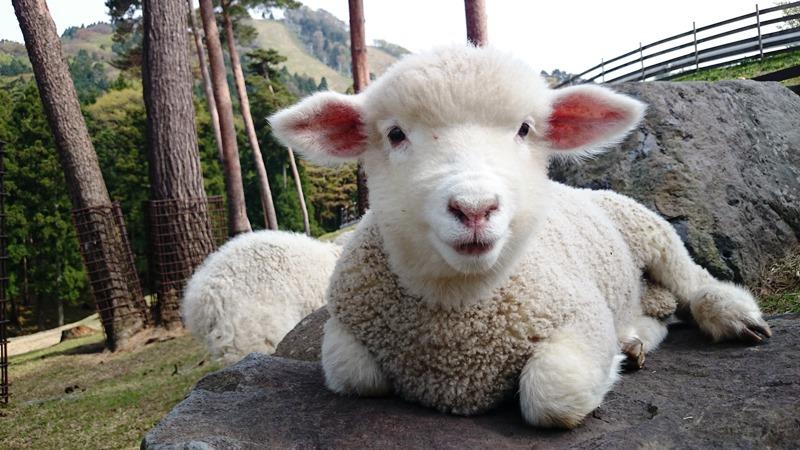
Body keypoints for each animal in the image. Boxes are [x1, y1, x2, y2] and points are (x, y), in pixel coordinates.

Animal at [270, 45, 776, 428]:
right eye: (395, 134)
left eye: (525, 129)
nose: (474, 208)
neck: (460, 303)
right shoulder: (345, 329)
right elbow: (353, 373)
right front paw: (623, 351)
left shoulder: (581, 313)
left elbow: (553, 393)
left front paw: (602, 368)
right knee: (660, 311)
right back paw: (634, 340)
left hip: (650, 230)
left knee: (692, 281)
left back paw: (732, 315)